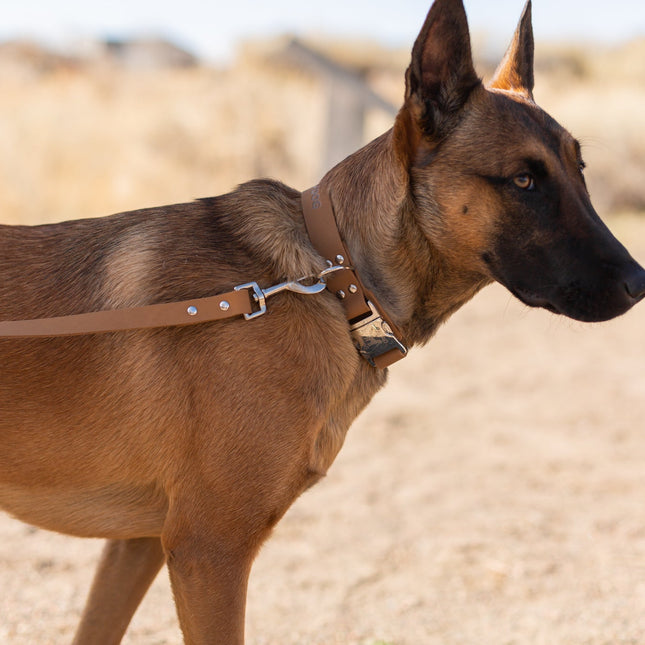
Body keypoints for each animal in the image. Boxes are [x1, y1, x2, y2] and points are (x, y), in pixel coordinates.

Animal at [1, 1, 644, 644]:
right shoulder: (208, 550)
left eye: (581, 171)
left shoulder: (140, 544)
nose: (640, 283)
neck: (334, 280)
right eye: (524, 181)